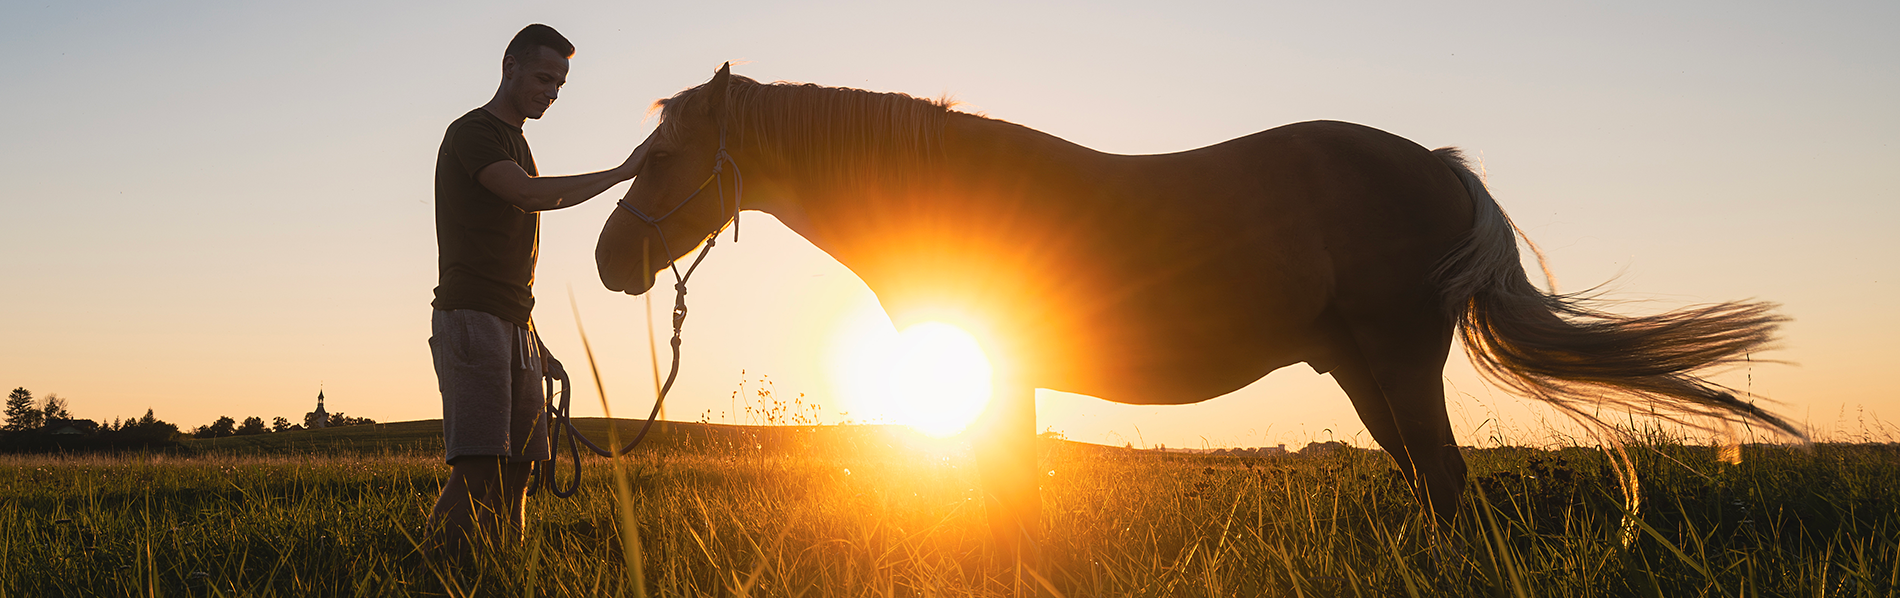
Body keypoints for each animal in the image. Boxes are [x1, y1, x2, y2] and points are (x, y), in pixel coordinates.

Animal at [595, 64, 1802, 554]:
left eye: (665, 158)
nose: (611, 260)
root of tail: (1437, 165)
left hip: (1397, 362)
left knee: (1447, 482)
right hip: (1362, 372)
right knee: (1430, 480)